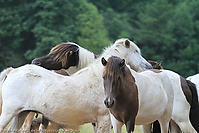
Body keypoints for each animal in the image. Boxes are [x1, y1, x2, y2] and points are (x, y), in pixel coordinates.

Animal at [0, 38, 152, 133]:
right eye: (135, 52)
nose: (149, 66)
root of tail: (12, 71)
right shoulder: (104, 121)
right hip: (9, 112)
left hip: (21, 113)